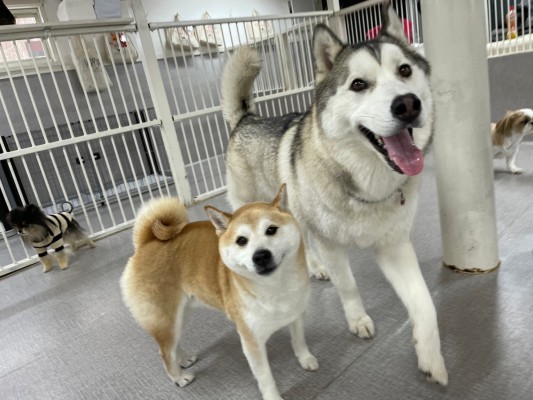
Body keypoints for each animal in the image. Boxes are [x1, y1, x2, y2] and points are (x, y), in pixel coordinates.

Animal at [120, 185, 316, 400]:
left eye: (271, 230)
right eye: (241, 241)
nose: (261, 256)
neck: (274, 286)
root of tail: (146, 242)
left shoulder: (296, 314)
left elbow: (299, 341)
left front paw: (305, 359)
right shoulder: (252, 341)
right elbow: (266, 378)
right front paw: (273, 397)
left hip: (179, 316)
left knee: (171, 346)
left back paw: (184, 359)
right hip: (165, 319)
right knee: (165, 352)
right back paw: (179, 377)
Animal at [219, 2, 444, 384]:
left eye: (405, 70)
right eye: (358, 84)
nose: (407, 104)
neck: (366, 184)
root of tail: (246, 119)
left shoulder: (394, 246)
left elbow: (425, 303)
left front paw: (431, 358)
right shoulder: (332, 243)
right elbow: (348, 285)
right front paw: (358, 320)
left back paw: (312, 266)